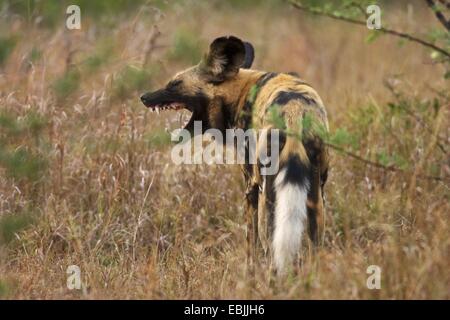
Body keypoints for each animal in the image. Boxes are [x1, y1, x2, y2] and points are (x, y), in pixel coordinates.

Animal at [142, 35, 328, 276]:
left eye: (175, 84)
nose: (144, 97)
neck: (239, 92)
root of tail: (294, 111)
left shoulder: (251, 186)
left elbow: (251, 243)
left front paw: (249, 273)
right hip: (315, 197)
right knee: (314, 249)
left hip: (269, 197)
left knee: (271, 249)